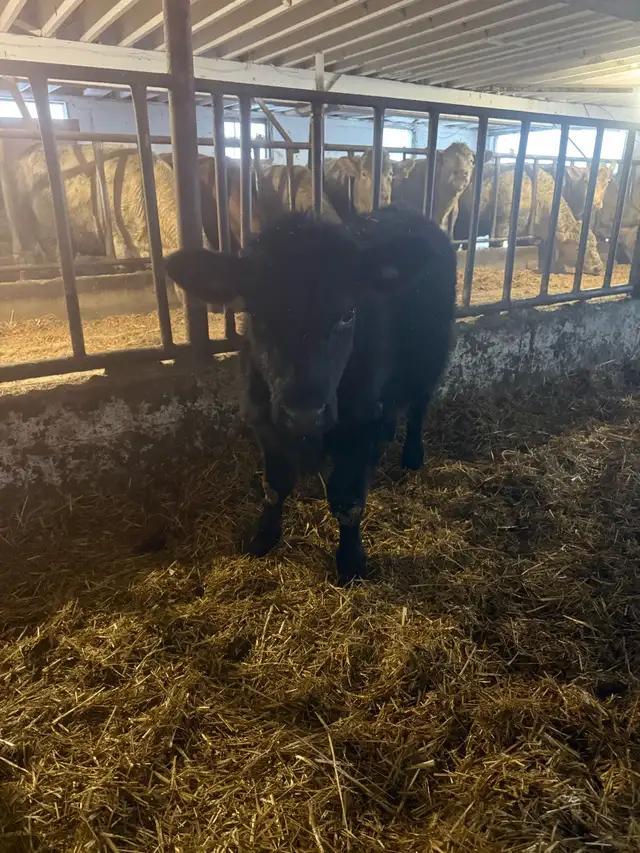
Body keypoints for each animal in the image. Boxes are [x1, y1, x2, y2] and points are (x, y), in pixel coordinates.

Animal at [165, 206, 456, 584]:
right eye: (255, 313)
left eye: (348, 314)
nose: (304, 413)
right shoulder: (265, 421)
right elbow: (275, 486)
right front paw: (264, 537)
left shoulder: (358, 427)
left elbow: (348, 501)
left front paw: (351, 560)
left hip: (431, 358)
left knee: (419, 406)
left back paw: (412, 455)